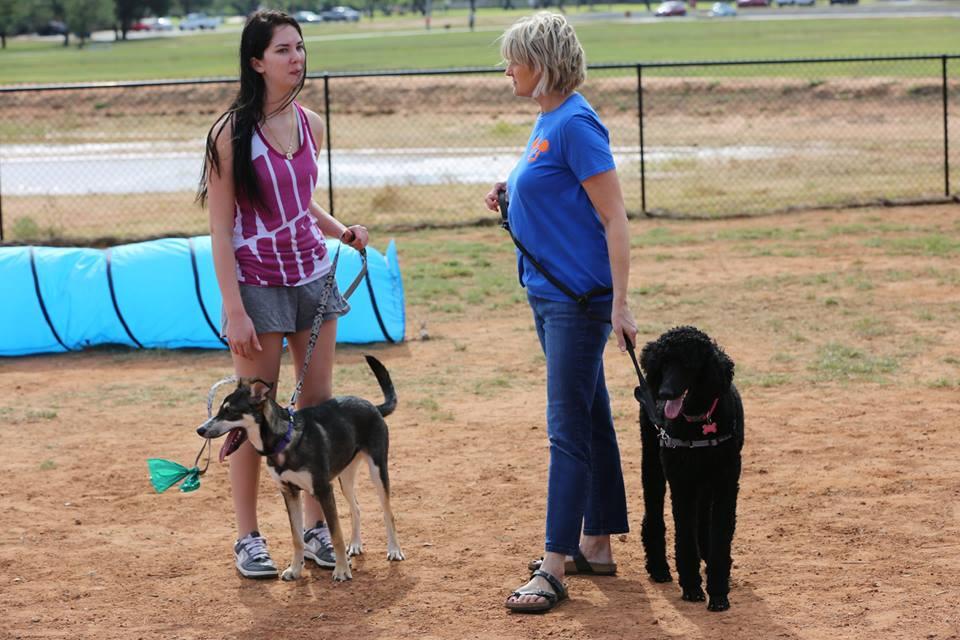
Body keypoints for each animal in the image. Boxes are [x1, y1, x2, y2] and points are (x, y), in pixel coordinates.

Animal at [197, 355, 404, 582]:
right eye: (219, 410)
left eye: (230, 412)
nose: (200, 429)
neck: (284, 439)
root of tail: (373, 406)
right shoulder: (289, 492)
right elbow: (296, 537)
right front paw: (295, 570)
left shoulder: (324, 490)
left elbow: (336, 533)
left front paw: (341, 570)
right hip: (345, 477)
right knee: (356, 508)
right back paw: (356, 545)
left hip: (378, 471)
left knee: (388, 512)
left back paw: (394, 550)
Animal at [638, 326, 744, 612]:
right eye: (664, 363)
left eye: (688, 363)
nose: (664, 393)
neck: (699, 420)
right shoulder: (681, 481)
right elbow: (684, 534)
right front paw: (692, 587)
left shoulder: (726, 481)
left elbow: (721, 536)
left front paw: (718, 592)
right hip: (653, 463)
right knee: (654, 515)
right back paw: (659, 567)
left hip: (705, 479)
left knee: (703, 518)